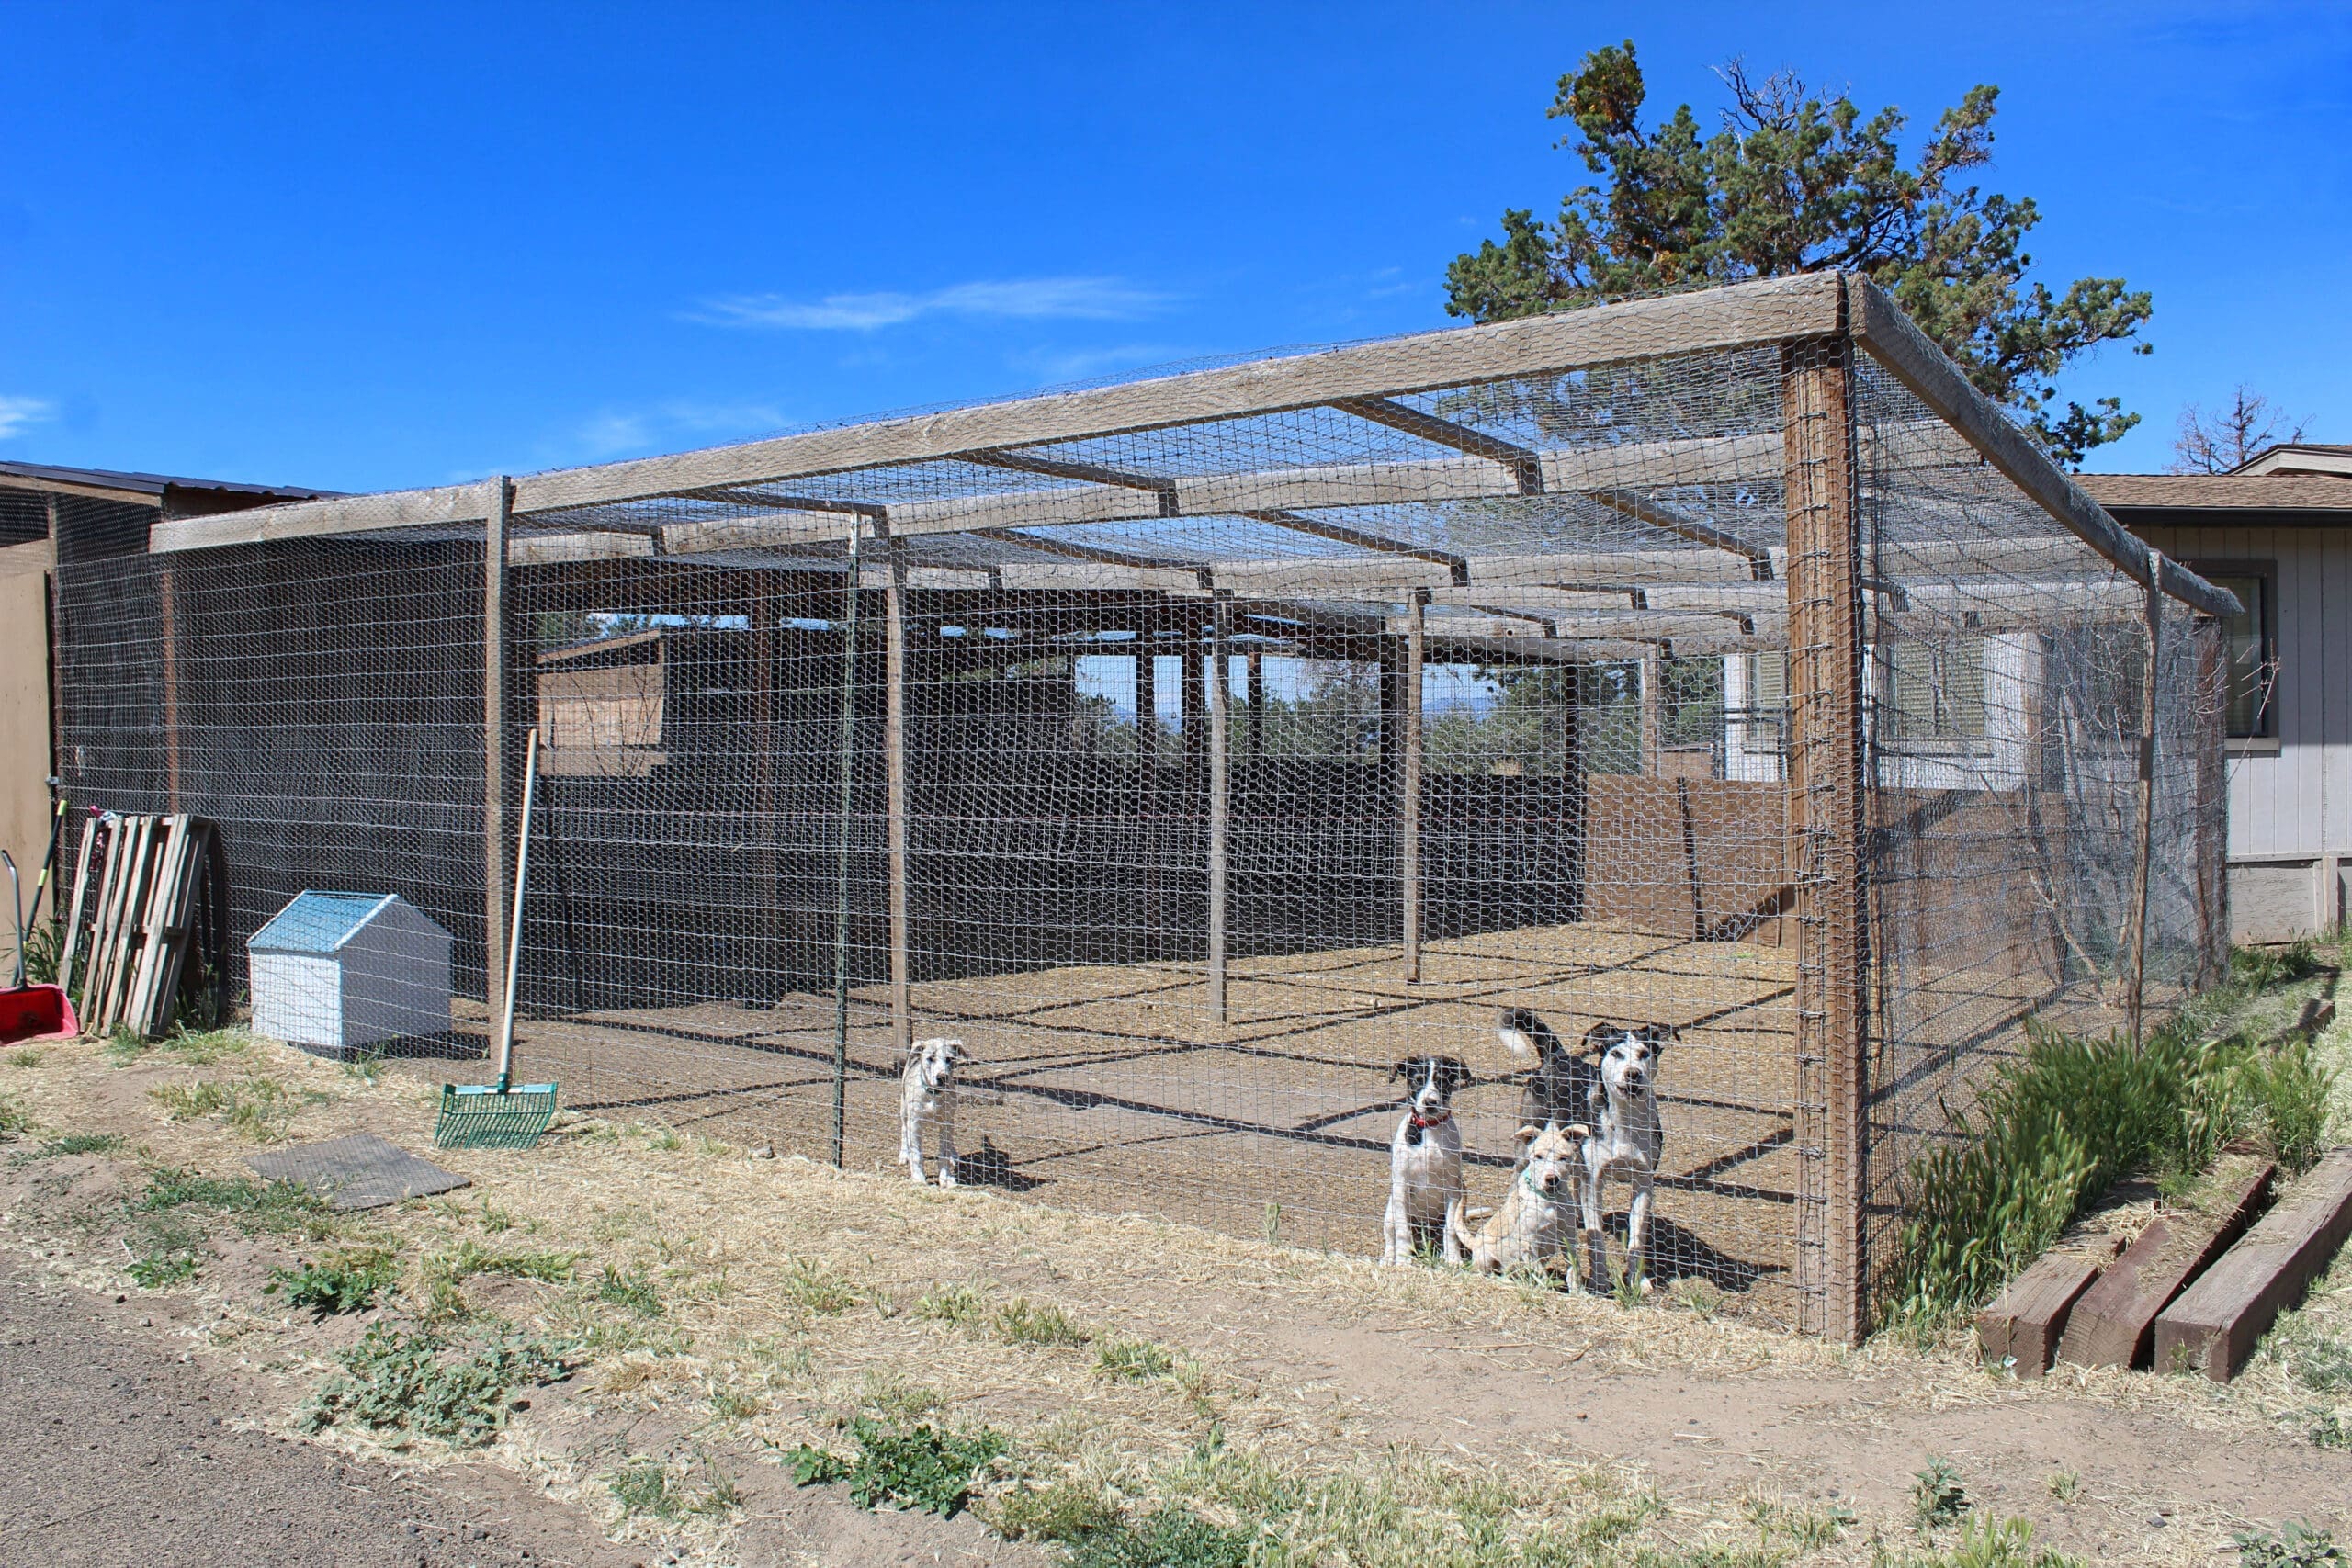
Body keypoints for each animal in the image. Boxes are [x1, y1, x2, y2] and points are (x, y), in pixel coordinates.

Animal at [903, 1043, 968, 1189]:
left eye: (949, 1059)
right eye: (930, 1058)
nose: (942, 1077)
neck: (933, 1095)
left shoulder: (947, 1123)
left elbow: (944, 1152)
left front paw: (946, 1178)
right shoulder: (914, 1123)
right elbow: (916, 1153)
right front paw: (918, 1178)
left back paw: (954, 1155)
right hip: (903, 1110)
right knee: (904, 1131)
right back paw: (903, 1155)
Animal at [1374, 1053, 1467, 1259]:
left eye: (1443, 1081)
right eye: (1417, 1080)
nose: (1430, 1103)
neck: (1430, 1129)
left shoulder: (1452, 1187)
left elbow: (1451, 1229)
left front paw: (1454, 1260)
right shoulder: (1401, 1184)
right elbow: (1402, 1230)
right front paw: (1402, 1261)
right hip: (1390, 1211)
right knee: (1391, 1236)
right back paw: (1389, 1258)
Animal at [1439, 1123, 1589, 1279]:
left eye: (1563, 1158)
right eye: (1538, 1156)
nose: (1552, 1179)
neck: (1550, 1201)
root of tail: (1475, 1242)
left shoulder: (1569, 1237)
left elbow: (1574, 1269)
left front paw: (1577, 1285)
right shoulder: (1528, 1244)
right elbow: (1541, 1274)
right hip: (1486, 1257)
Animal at [1580, 1024, 1674, 1297]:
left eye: (1645, 1054)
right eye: (1617, 1053)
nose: (1633, 1073)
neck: (1625, 1119)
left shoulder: (1644, 1182)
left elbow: (1637, 1238)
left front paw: (1637, 1281)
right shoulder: (1594, 1181)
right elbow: (1595, 1237)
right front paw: (1599, 1282)